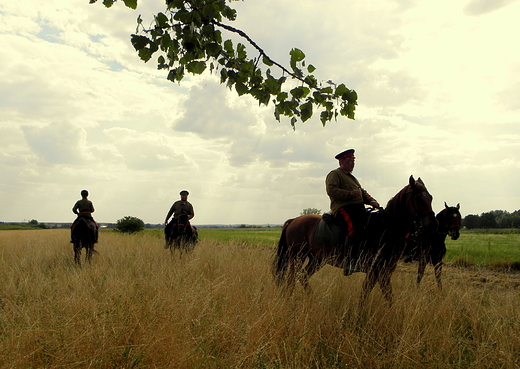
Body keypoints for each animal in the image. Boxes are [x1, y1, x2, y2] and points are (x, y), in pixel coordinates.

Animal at [274, 175, 436, 304]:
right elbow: (366, 294)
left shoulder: (385, 271)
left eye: (431, 197)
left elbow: (388, 295)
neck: (384, 228)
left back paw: (313, 299)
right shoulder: (375, 271)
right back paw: (288, 299)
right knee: (291, 279)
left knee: (303, 276)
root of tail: (294, 220)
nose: (433, 224)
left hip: (316, 259)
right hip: (297, 257)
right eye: (418, 198)